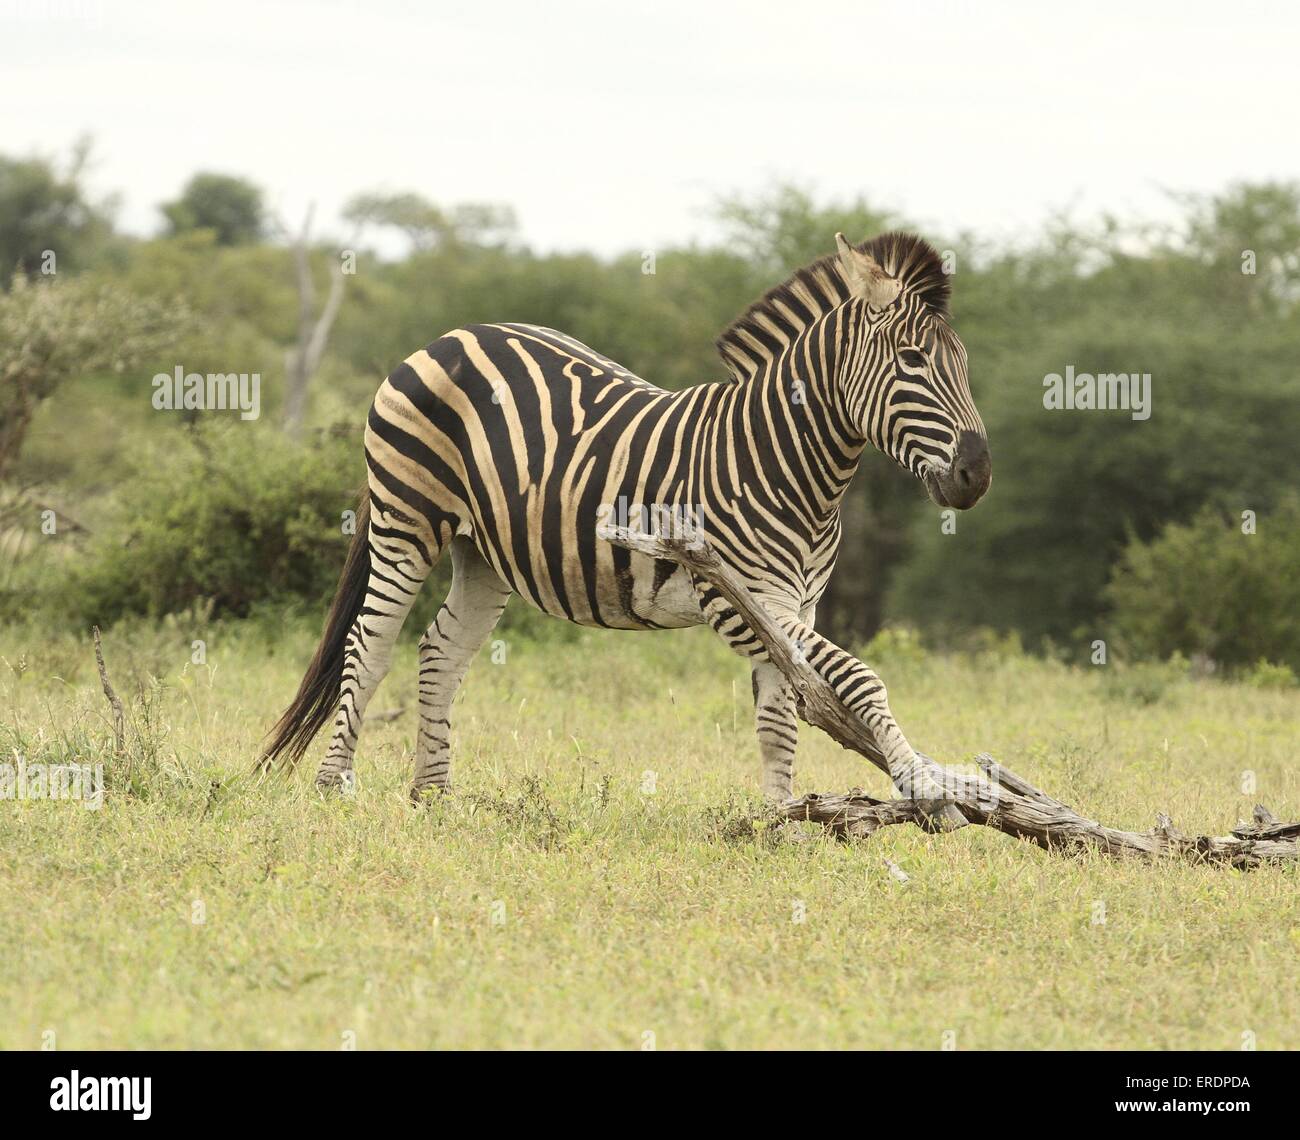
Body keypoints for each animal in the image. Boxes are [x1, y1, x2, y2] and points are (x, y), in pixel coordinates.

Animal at [263, 228, 993, 811]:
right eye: (912, 360)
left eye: (964, 363)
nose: (977, 474)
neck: (785, 461)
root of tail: (447, 336)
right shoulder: (741, 595)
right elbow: (859, 679)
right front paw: (923, 781)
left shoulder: (798, 603)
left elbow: (781, 716)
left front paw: (783, 819)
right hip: (407, 521)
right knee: (368, 645)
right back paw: (334, 788)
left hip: (484, 549)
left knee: (441, 649)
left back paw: (434, 797)